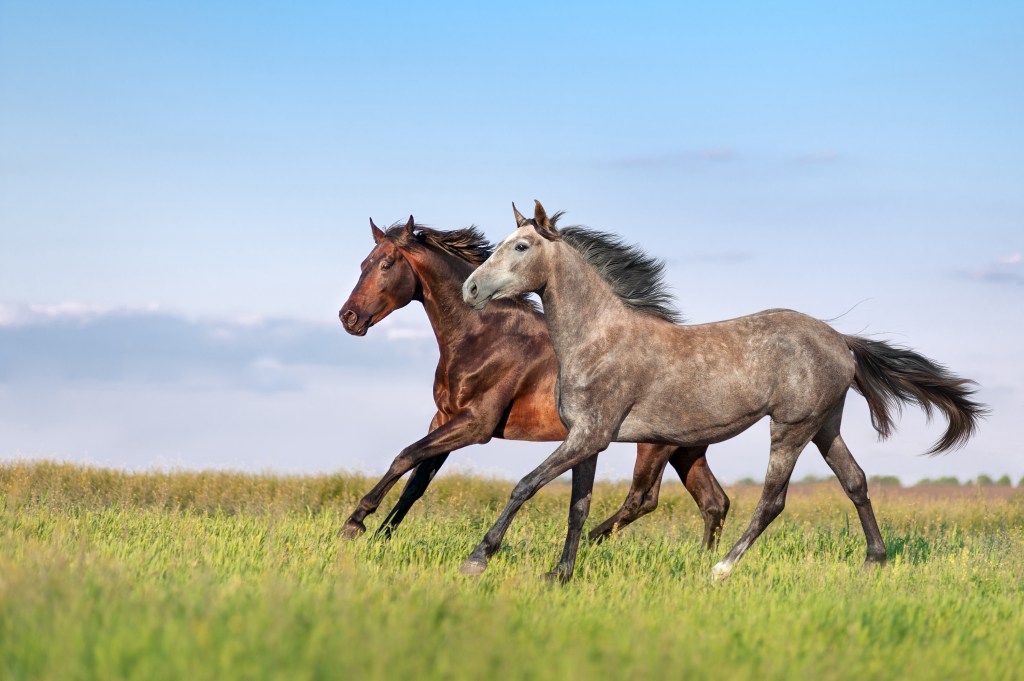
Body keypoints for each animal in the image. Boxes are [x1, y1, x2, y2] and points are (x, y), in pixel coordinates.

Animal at [335, 218, 729, 548]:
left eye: (386, 264)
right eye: (363, 264)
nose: (347, 317)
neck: (485, 336)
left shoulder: (475, 424)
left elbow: (404, 456)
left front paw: (355, 523)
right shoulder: (444, 418)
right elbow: (416, 481)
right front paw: (382, 536)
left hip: (653, 447)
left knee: (643, 499)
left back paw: (588, 545)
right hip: (685, 449)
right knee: (713, 502)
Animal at [458, 200, 983, 577]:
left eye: (521, 246)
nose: (470, 289)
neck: (597, 338)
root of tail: (841, 341)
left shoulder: (591, 435)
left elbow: (526, 486)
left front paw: (478, 558)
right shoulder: (585, 441)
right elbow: (577, 507)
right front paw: (560, 574)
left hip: (791, 428)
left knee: (772, 501)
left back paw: (721, 567)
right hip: (824, 426)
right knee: (855, 481)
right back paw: (874, 561)